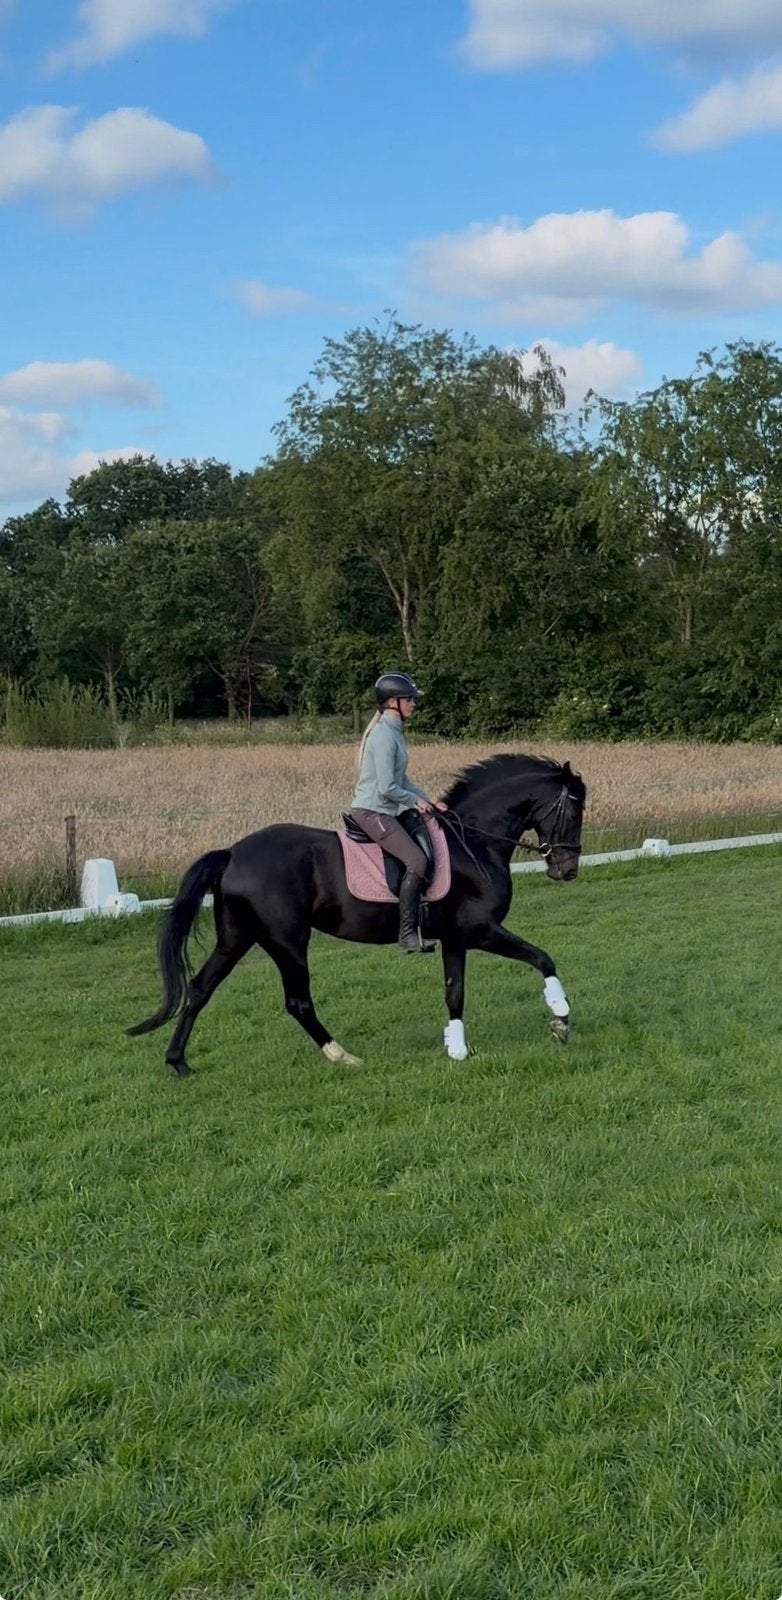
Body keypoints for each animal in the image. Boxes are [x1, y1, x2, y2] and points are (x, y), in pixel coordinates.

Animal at [127, 752, 586, 1073]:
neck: (472, 842)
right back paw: (342, 1056)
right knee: (298, 1001)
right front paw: (561, 1020)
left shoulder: (456, 938)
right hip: (287, 940)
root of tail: (232, 853)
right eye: (574, 809)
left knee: (199, 989)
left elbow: (454, 993)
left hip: (237, 937)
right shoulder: (481, 930)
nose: (567, 870)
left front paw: (457, 1050)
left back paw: (178, 1063)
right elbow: (543, 958)